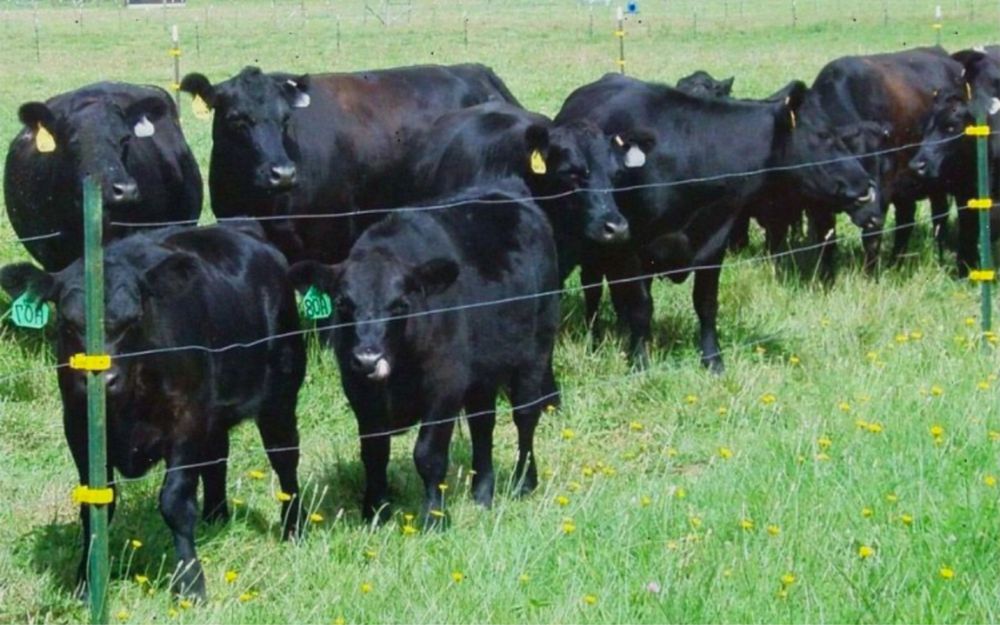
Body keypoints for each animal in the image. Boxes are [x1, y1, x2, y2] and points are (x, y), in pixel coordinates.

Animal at [0, 223, 305, 599]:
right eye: (68, 323)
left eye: (134, 319)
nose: (103, 379)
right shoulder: (77, 424)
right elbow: (95, 505)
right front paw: (86, 583)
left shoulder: (186, 420)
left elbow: (174, 502)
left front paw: (190, 582)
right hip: (215, 415)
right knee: (217, 458)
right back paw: (216, 518)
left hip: (281, 397)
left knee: (285, 460)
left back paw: (293, 529)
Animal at [288, 181, 559, 525]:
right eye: (342, 303)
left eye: (401, 304)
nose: (367, 359)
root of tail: (506, 190)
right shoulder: (359, 391)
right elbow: (374, 452)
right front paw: (375, 511)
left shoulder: (445, 385)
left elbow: (428, 454)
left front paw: (434, 517)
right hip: (481, 375)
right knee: (483, 425)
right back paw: (482, 493)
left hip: (535, 351)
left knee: (525, 415)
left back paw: (524, 482)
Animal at [555, 73, 873, 371]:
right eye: (823, 135)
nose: (866, 183)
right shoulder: (630, 246)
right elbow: (641, 306)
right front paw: (640, 362)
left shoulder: (715, 242)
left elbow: (706, 303)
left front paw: (713, 361)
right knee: (593, 288)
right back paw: (595, 338)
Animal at [910, 47, 1000, 275]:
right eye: (925, 129)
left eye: (951, 127)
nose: (917, 166)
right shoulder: (963, 193)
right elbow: (968, 229)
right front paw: (965, 268)